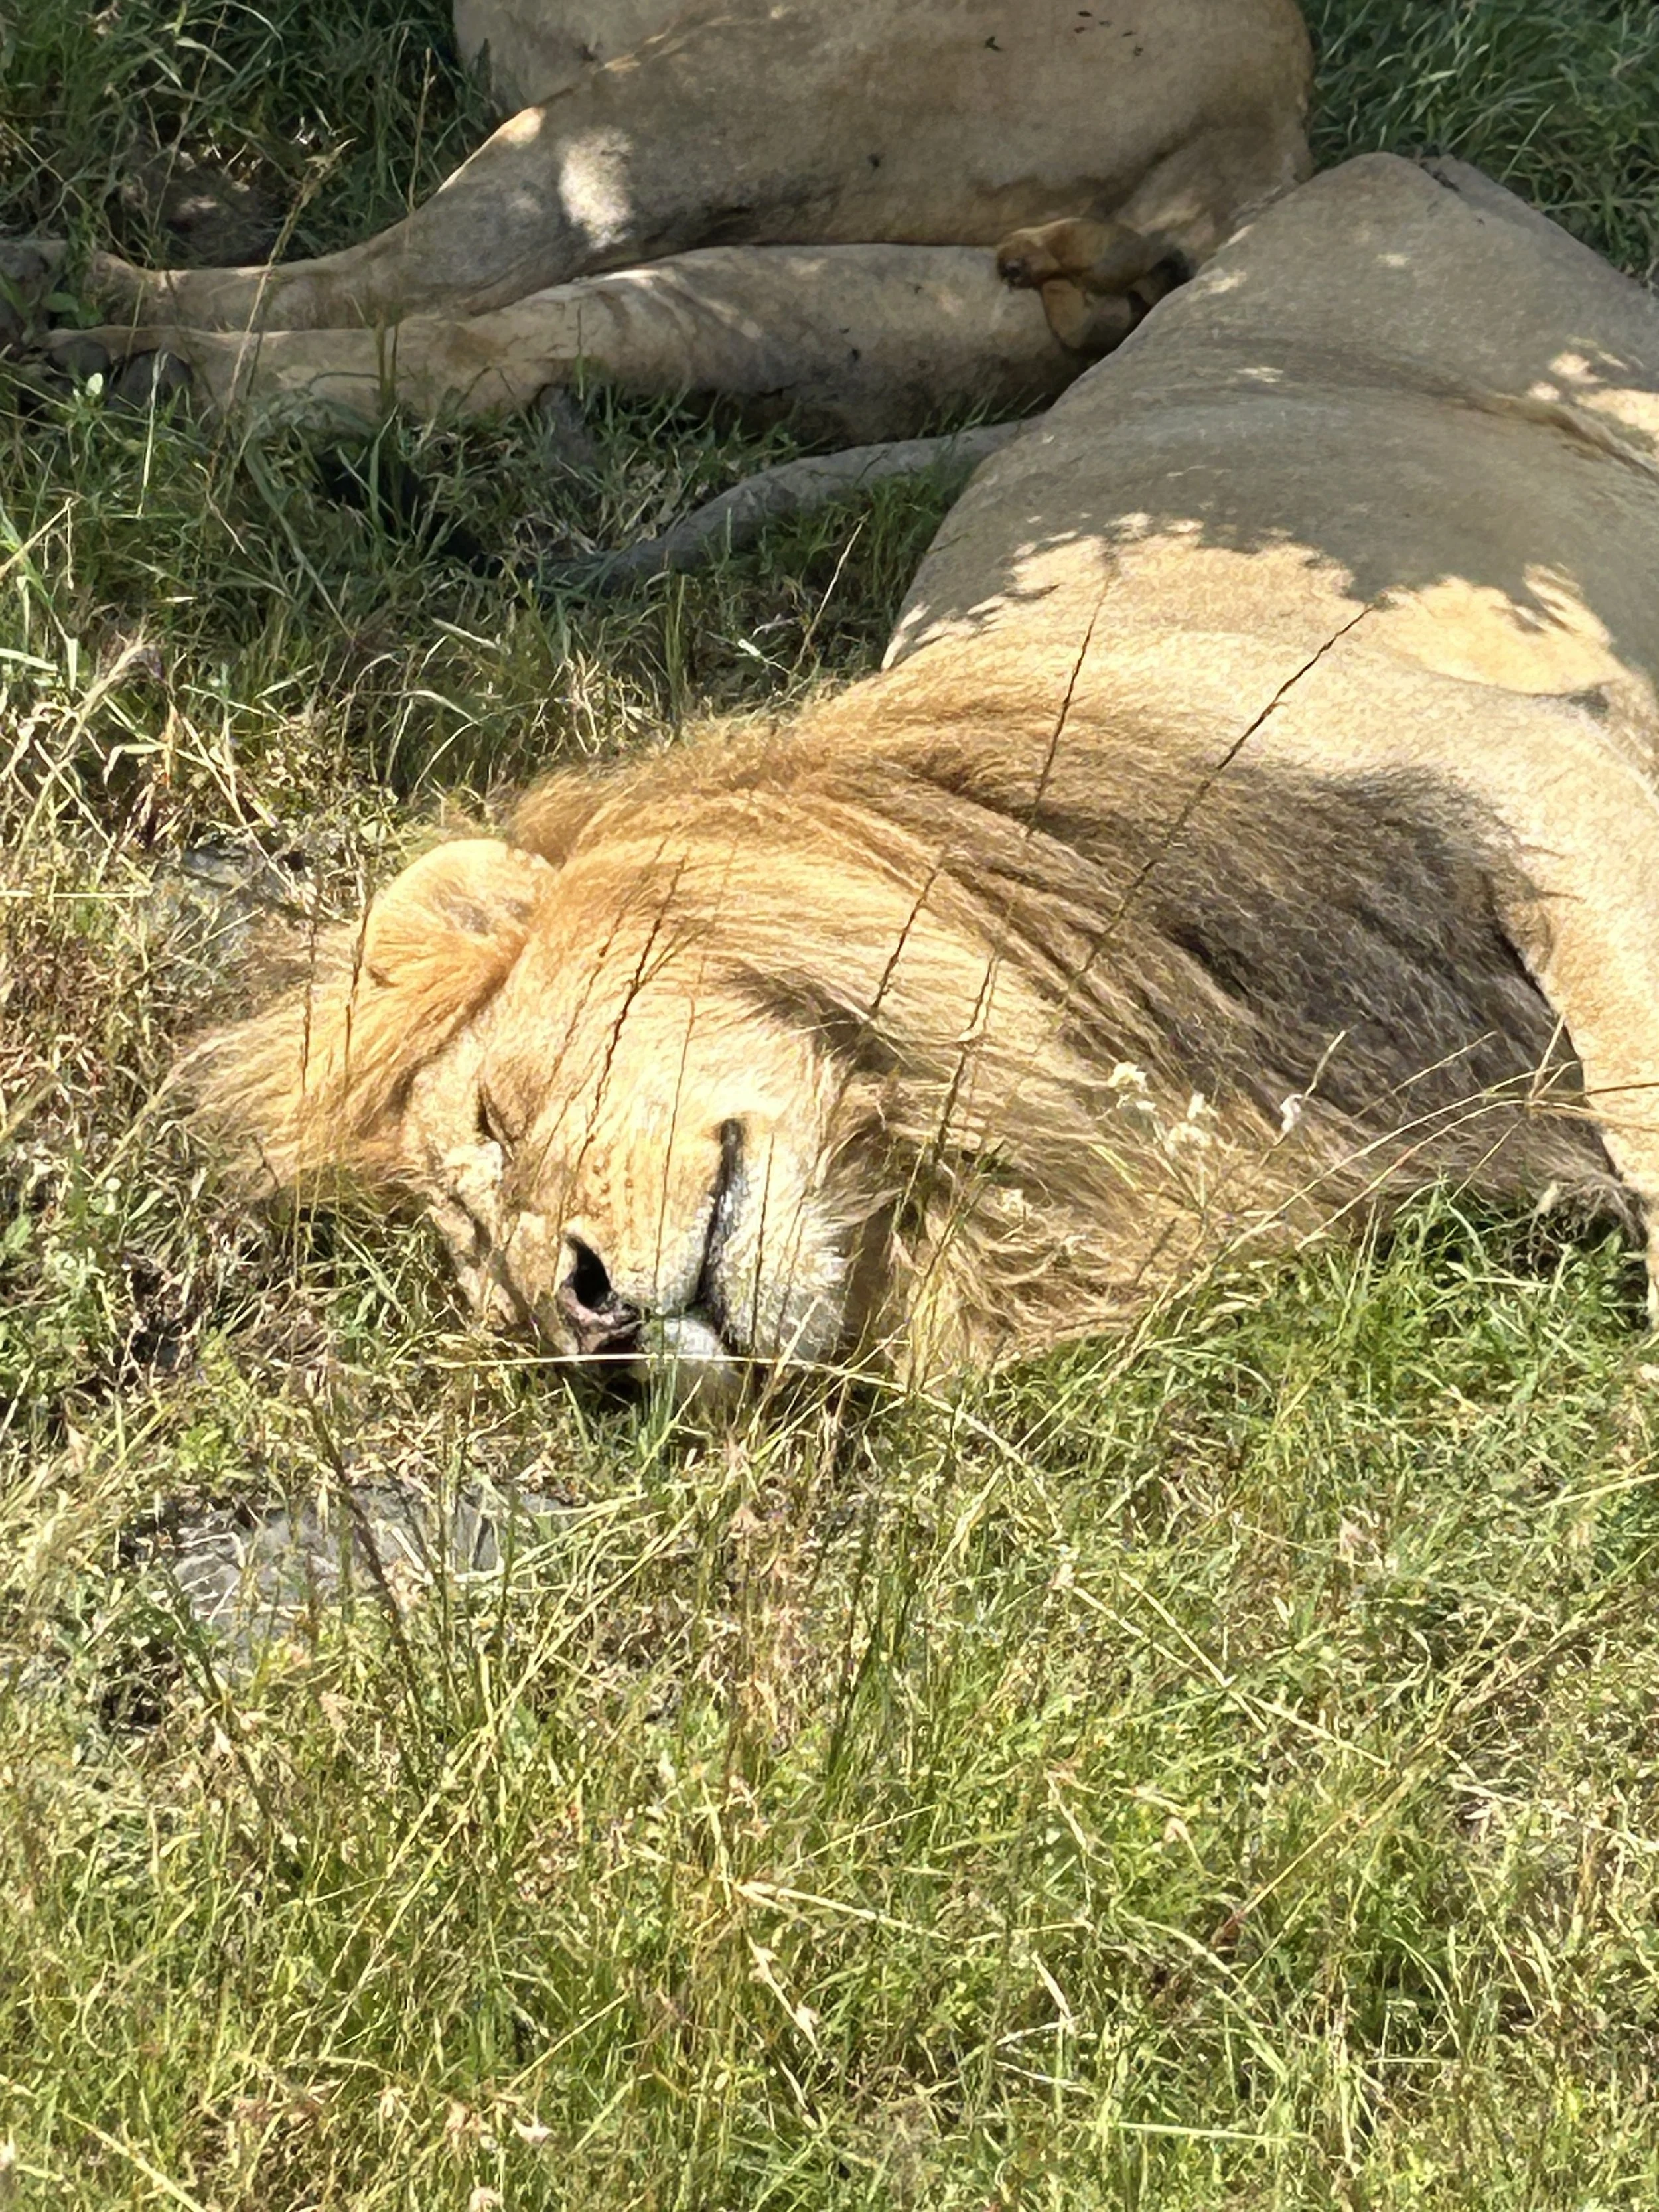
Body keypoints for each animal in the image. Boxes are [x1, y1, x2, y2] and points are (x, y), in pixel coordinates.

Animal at [48, 0, 1311, 439]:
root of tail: (1266, 128)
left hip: (678, 105)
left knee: (404, 279)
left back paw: (91, 298)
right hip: (812, 313)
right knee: (479, 345)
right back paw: (133, 355)